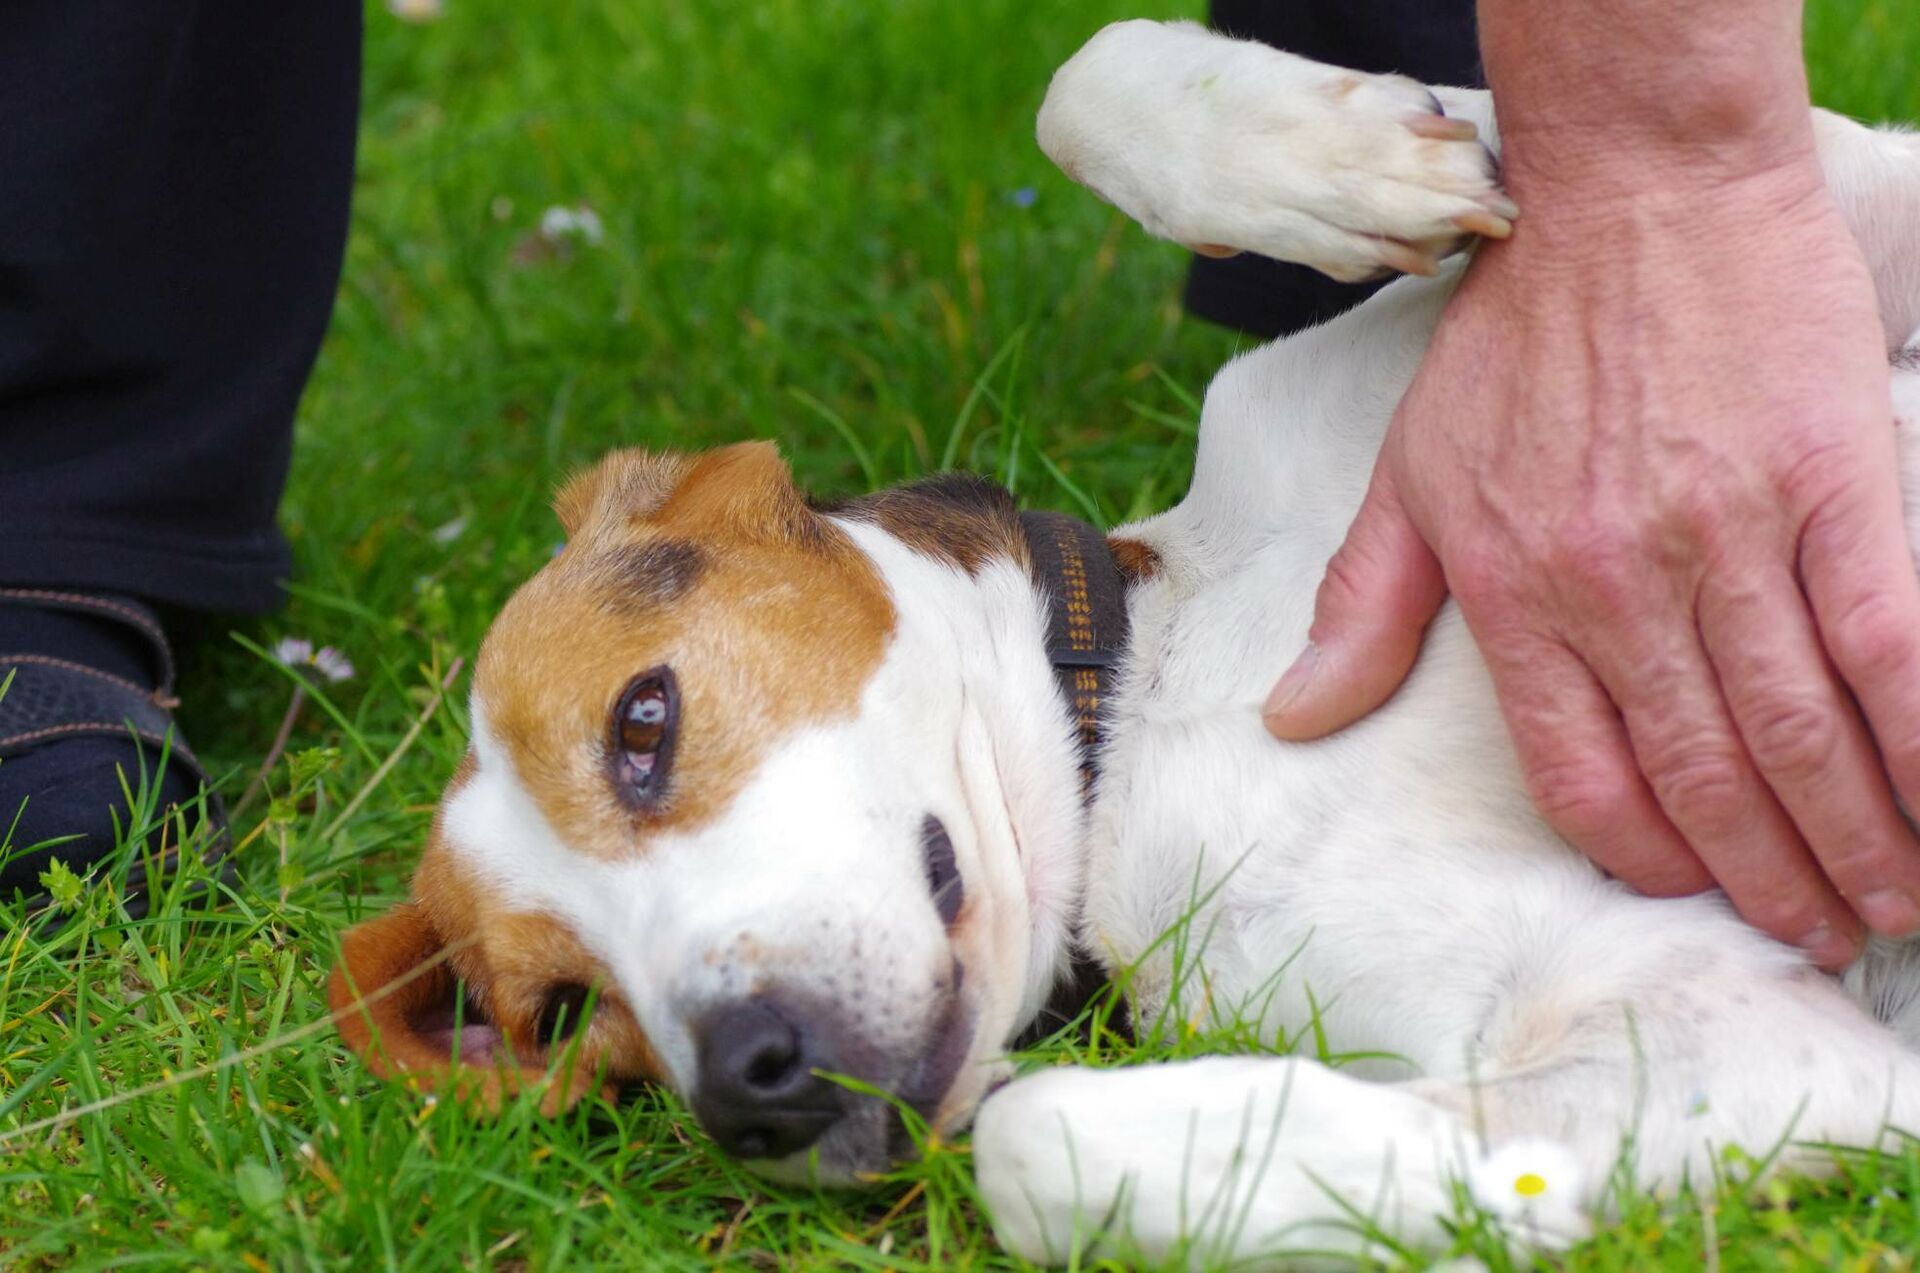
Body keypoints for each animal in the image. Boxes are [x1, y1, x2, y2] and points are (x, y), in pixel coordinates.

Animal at [326, 17, 1920, 1267]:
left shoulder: (1819, 226)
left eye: (641, 723)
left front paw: (1351, 154)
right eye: (563, 1012)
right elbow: (1031, 1137)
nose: (747, 1086)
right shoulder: (1724, 1032)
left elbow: (1083, 75)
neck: (1159, 688)